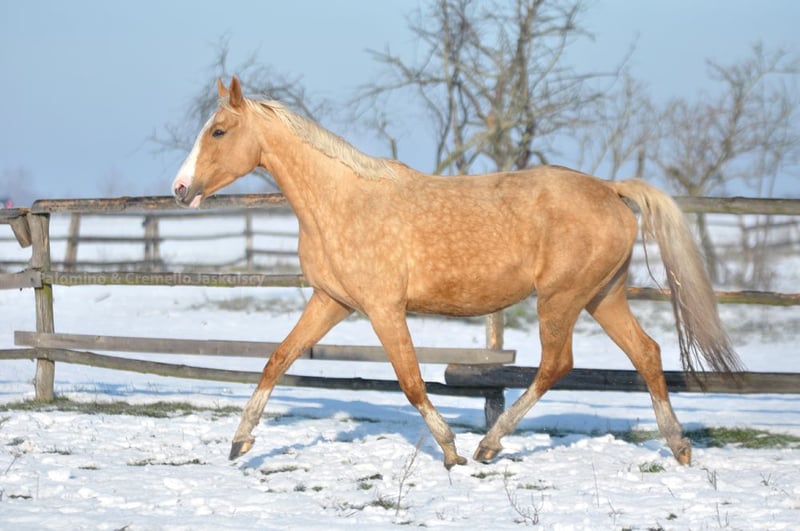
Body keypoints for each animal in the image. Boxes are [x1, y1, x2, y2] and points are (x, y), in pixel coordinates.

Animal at [172, 76, 742, 469]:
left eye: (219, 130)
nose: (179, 189)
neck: (341, 201)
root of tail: (611, 189)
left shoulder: (383, 309)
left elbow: (411, 383)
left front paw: (450, 451)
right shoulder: (331, 301)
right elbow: (277, 360)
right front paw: (239, 442)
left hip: (561, 299)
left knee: (556, 364)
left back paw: (489, 446)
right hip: (604, 296)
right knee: (646, 353)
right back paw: (679, 446)